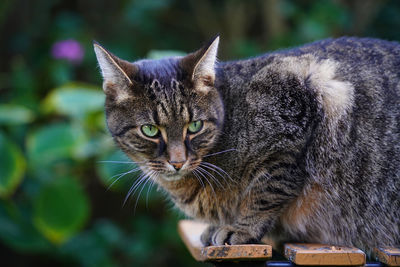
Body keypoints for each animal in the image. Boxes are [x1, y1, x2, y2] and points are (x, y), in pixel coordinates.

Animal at [94, 37, 400, 253]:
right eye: (150, 130)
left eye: (194, 126)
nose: (177, 161)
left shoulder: (300, 99)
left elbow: (268, 189)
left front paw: (242, 228)